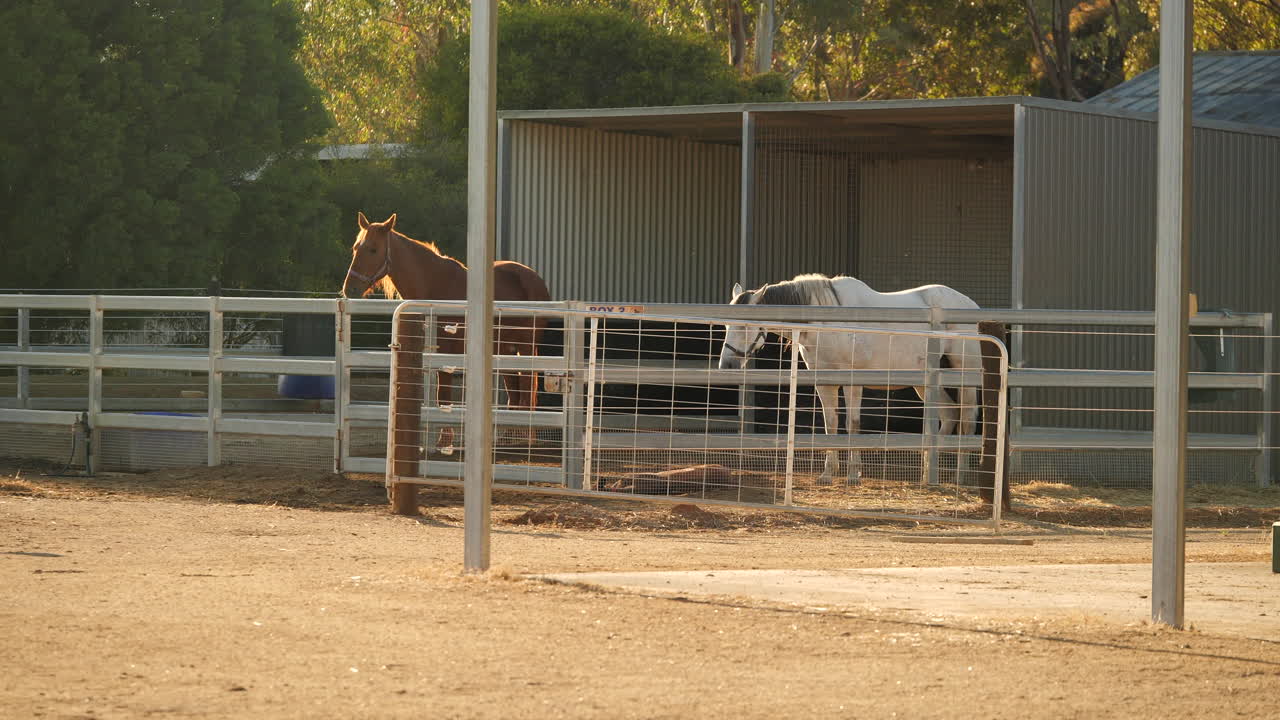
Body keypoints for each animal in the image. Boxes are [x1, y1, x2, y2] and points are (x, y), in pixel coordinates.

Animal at [340, 212, 550, 450]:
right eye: (356, 248)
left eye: (373, 249)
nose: (350, 288)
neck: (434, 286)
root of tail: (535, 279)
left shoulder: (447, 351)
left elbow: (443, 395)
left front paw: (445, 441)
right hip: (505, 349)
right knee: (514, 391)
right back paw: (508, 437)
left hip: (525, 347)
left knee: (527, 386)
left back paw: (525, 437)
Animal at [717, 273, 982, 485]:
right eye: (727, 324)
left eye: (745, 326)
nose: (726, 365)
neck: (828, 322)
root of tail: (970, 305)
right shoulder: (824, 382)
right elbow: (830, 423)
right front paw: (827, 474)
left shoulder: (852, 381)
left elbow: (851, 424)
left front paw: (854, 475)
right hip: (924, 381)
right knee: (949, 414)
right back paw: (928, 475)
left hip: (964, 373)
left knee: (967, 419)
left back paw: (959, 477)